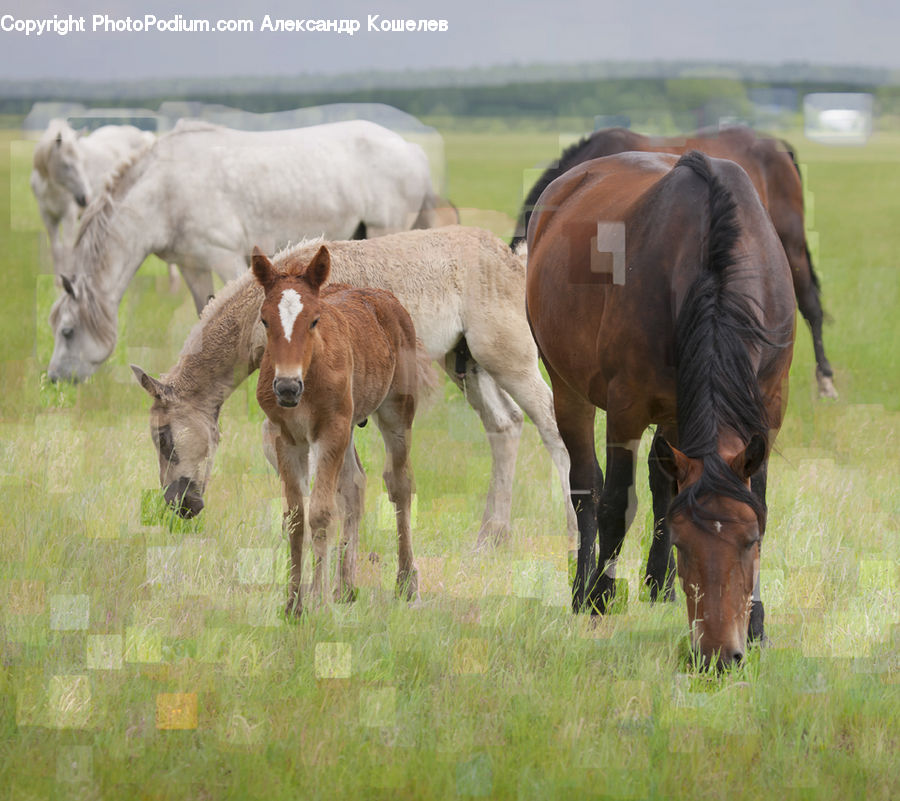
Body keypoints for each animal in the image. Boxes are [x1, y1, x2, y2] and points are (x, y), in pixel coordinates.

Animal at [30, 119, 154, 275]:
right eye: (66, 165)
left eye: (82, 161)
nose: (85, 198)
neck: (53, 188)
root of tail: (145, 136)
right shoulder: (48, 216)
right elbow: (57, 250)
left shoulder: (69, 216)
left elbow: (67, 249)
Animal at [48, 119, 441, 382]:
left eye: (67, 331)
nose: (54, 380)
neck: (165, 191)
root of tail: (413, 150)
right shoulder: (192, 266)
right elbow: (204, 313)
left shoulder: (226, 258)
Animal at [132, 226, 577, 546]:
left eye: (165, 439)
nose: (179, 505)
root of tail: (513, 259)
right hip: (466, 364)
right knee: (505, 425)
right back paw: (492, 536)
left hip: (508, 358)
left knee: (551, 426)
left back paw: (574, 532)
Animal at [525, 151, 795, 668]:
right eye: (686, 546)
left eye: (749, 541)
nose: (717, 657)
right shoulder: (625, 405)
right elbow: (615, 503)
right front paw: (600, 599)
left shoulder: (769, 409)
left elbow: (754, 499)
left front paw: (756, 625)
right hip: (568, 388)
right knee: (586, 486)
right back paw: (583, 588)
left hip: (675, 414)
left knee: (661, 477)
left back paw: (657, 586)